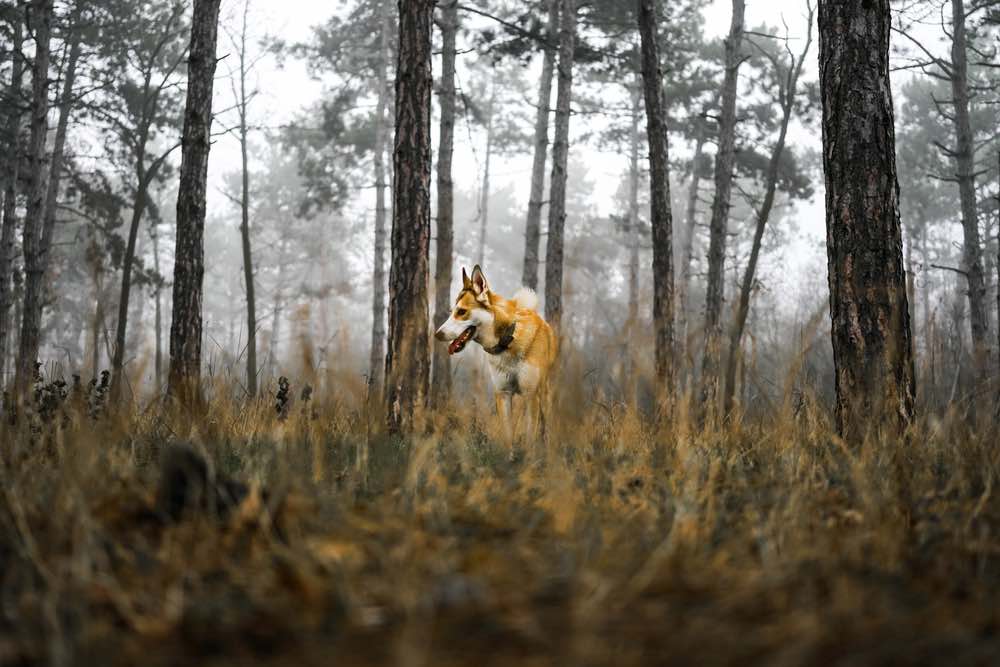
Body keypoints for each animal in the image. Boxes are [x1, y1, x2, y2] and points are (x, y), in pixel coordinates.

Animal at [436, 264, 560, 446]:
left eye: (462, 312)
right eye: (452, 312)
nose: (437, 335)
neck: (508, 342)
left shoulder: (531, 395)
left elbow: (530, 439)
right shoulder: (503, 394)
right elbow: (508, 437)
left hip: (544, 395)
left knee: (547, 427)